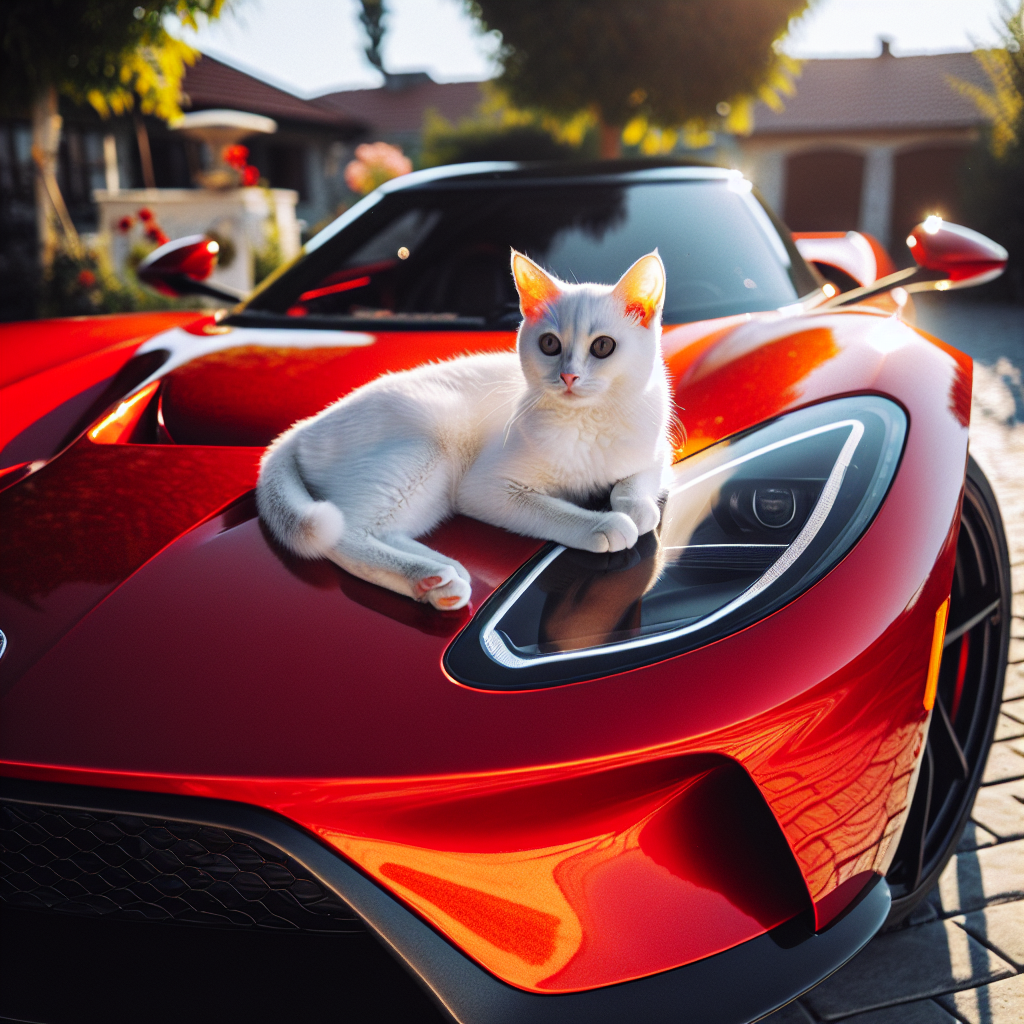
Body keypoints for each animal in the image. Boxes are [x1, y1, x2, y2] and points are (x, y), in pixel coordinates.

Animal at [256, 251, 671, 610]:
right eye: (550, 344)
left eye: (603, 347)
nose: (569, 376)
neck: (589, 421)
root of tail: (301, 428)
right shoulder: (487, 489)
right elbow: (551, 509)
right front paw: (603, 522)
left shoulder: (658, 452)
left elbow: (637, 483)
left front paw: (635, 506)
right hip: (429, 447)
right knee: (346, 534)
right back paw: (427, 576)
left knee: (382, 530)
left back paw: (441, 578)